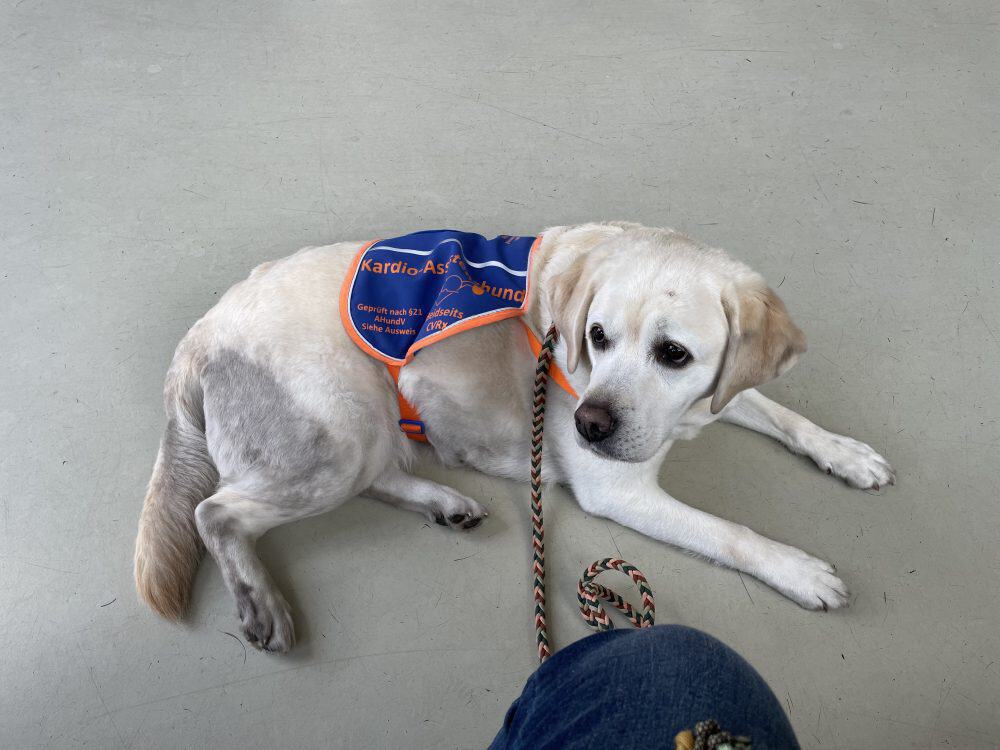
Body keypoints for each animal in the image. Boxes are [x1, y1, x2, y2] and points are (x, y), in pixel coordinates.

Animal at [131, 222, 892, 652]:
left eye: (674, 353)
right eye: (596, 337)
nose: (589, 423)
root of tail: (200, 333)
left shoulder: (710, 395)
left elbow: (778, 411)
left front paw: (844, 452)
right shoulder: (620, 491)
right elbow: (730, 533)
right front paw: (796, 569)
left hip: (364, 427)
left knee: (378, 476)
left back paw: (445, 503)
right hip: (337, 434)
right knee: (215, 511)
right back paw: (260, 601)